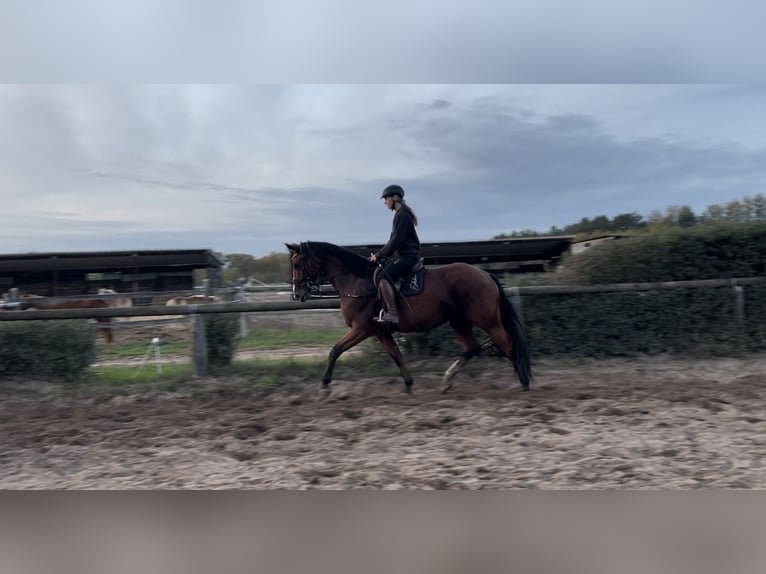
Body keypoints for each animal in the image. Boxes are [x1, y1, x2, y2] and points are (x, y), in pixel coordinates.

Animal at [284, 242, 532, 396]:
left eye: (297, 264)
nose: (297, 294)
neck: (357, 281)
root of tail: (485, 274)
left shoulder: (362, 328)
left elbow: (334, 350)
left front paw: (324, 387)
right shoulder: (379, 331)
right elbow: (396, 354)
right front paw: (409, 384)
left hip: (487, 320)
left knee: (508, 344)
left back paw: (524, 382)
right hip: (459, 321)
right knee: (472, 348)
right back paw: (447, 381)